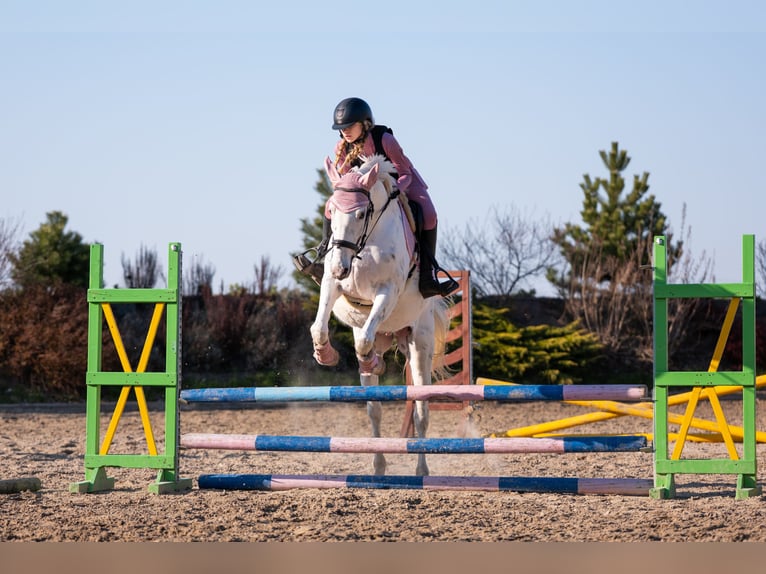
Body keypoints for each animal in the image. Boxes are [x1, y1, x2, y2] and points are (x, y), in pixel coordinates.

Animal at [310, 154, 450, 477]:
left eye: (361, 214)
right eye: (331, 211)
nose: (340, 267)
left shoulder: (388, 291)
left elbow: (363, 337)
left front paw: (369, 359)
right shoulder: (332, 285)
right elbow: (319, 327)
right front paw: (326, 355)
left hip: (419, 342)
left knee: (421, 410)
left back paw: (421, 470)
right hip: (385, 340)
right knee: (374, 409)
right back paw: (378, 464)